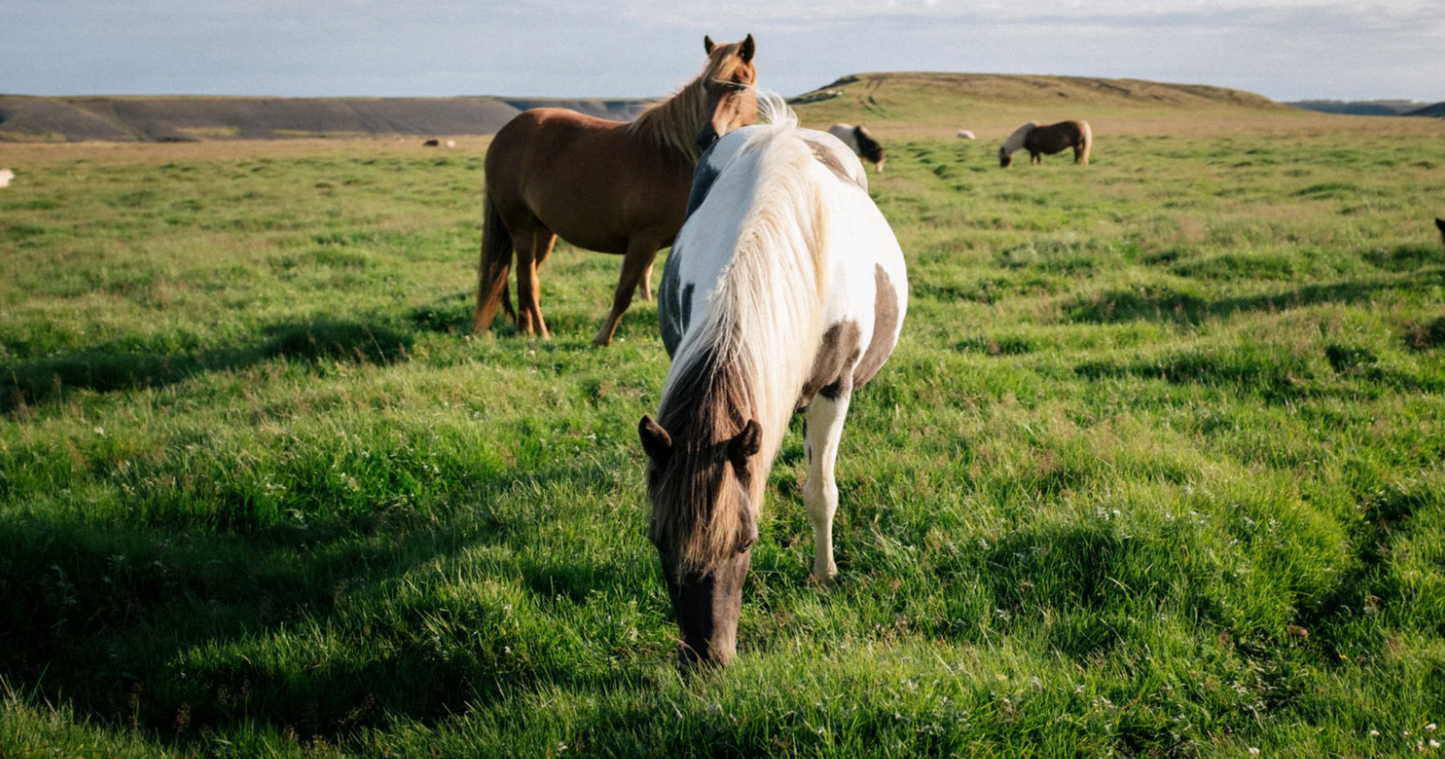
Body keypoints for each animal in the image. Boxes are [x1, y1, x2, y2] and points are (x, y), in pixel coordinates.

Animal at [471, 35, 759, 346]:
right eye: (706, 84)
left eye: (740, 84)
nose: (708, 137)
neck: (676, 157)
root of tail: (504, 134)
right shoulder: (643, 240)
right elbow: (624, 291)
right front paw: (602, 338)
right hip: (520, 226)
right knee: (528, 279)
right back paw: (540, 332)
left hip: (543, 232)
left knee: (525, 275)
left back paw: (526, 329)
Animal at [639, 98, 908, 666]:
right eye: (658, 541)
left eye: (746, 542)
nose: (707, 661)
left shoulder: (833, 390)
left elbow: (820, 491)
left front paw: (824, 576)